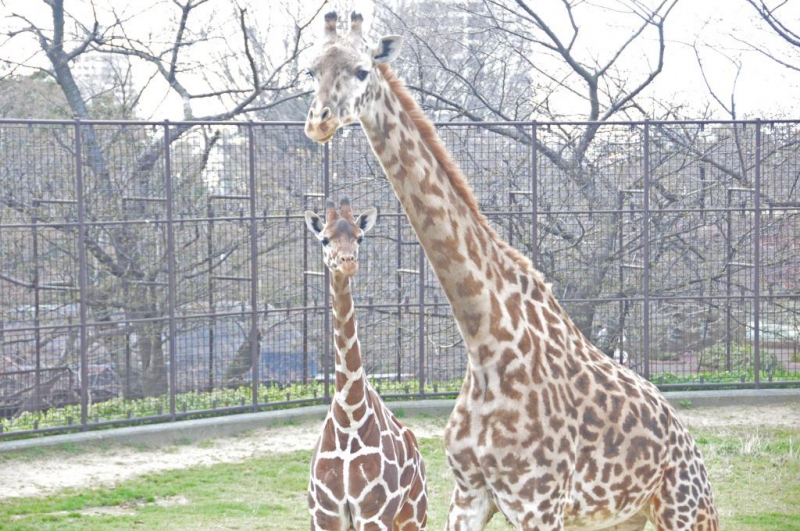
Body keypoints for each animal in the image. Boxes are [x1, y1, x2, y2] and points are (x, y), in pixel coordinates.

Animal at [304, 12, 720, 531]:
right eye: (310, 70)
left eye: (363, 70)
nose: (318, 122)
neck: (484, 340)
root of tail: (686, 439)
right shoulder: (469, 492)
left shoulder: (537, 502)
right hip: (620, 518)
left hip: (685, 510)